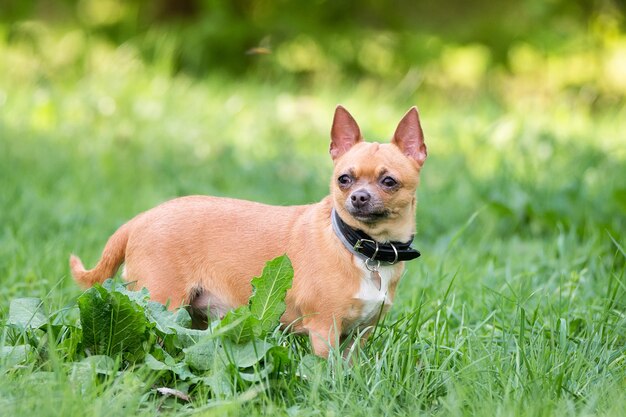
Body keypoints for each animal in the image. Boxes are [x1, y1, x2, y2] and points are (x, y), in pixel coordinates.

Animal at [70, 105, 426, 356]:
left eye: (389, 181)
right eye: (344, 179)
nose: (359, 197)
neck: (364, 248)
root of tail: (140, 218)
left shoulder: (358, 335)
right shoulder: (325, 331)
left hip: (192, 315)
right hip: (160, 305)